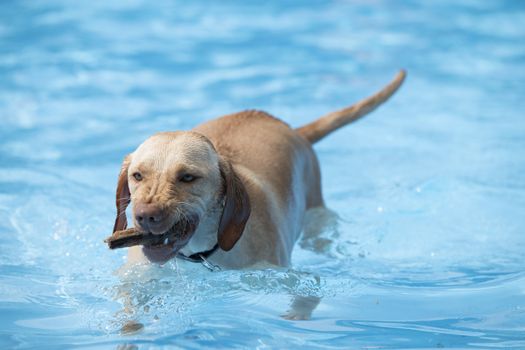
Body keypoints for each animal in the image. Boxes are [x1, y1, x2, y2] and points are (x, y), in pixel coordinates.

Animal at [112, 69, 404, 270]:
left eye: (187, 177)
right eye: (137, 176)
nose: (145, 216)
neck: (203, 251)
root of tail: (292, 129)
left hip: (316, 216)